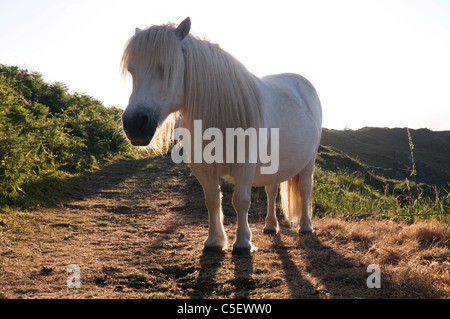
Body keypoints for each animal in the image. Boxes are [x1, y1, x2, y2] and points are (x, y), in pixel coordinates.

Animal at [121, 18, 322, 258]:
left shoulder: (245, 167)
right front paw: (214, 241)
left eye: (166, 68)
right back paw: (270, 226)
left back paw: (305, 226)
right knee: (271, 190)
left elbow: (240, 201)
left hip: (309, 160)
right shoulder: (202, 168)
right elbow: (212, 200)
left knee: (305, 189)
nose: (134, 125)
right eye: (132, 70)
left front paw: (243, 242)